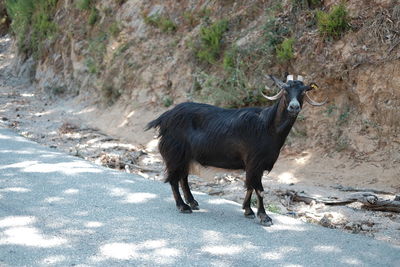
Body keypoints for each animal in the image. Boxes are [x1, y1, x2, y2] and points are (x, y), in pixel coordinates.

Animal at [147, 75, 324, 226]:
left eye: (303, 91)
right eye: (286, 90)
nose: (294, 107)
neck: (267, 127)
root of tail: (165, 117)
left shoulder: (255, 165)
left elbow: (250, 186)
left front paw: (248, 210)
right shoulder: (254, 161)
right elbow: (259, 189)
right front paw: (264, 216)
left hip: (186, 156)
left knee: (183, 178)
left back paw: (192, 202)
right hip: (175, 153)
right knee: (173, 179)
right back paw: (183, 206)